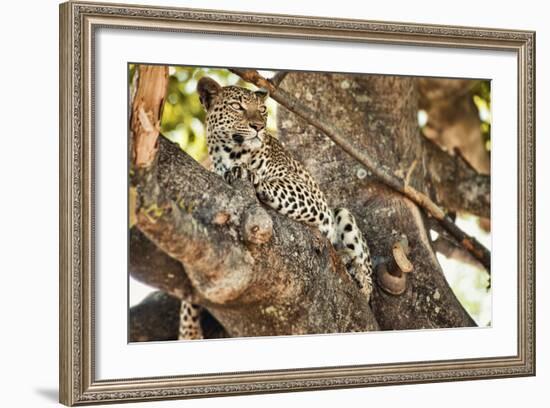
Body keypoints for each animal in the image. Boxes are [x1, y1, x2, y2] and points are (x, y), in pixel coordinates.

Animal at [179, 76, 374, 342]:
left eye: (262, 110)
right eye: (237, 107)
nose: (258, 126)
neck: (229, 155)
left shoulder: (312, 196)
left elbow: (273, 184)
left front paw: (248, 174)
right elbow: (187, 296)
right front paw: (188, 333)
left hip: (343, 215)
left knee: (367, 278)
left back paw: (354, 270)